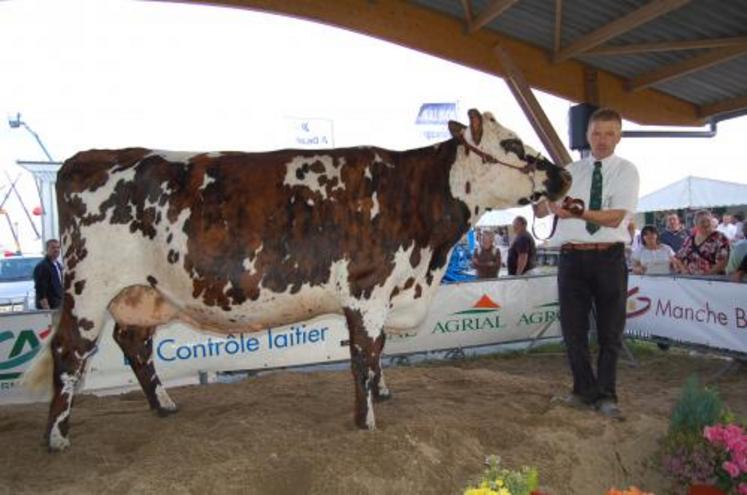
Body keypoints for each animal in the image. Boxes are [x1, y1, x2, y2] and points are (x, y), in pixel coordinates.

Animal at [23, 110, 572, 452]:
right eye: (511, 144)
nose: (564, 176)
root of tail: (86, 158)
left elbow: (378, 354)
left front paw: (382, 396)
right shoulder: (368, 292)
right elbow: (364, 357)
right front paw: (367, 420)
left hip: (143, 292)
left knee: (133, 343)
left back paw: (164, 405)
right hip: (89, 286)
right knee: (71, 352)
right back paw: (56, 437)